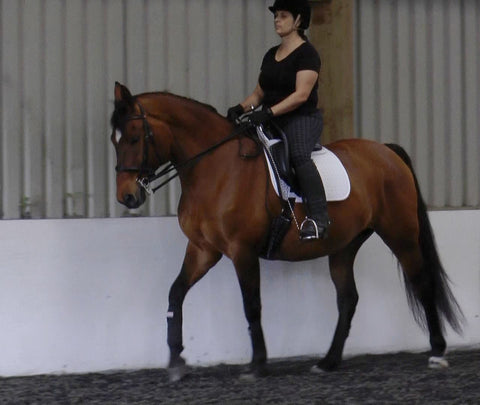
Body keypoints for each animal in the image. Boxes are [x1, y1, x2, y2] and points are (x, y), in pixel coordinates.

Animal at [110, 83, 464, 382]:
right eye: (115, 140)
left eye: (133, 138)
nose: (127, 196)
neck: (214, 168)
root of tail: (387, 152)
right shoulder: (203, 249)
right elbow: (176, 293)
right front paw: (175, 362)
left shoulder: (241, 251)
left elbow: (251, 305)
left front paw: (257, 365)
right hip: (345, 244)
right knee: (348, 298)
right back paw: (328, 362)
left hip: (400, 233)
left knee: (422, 283)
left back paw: (437, 352)